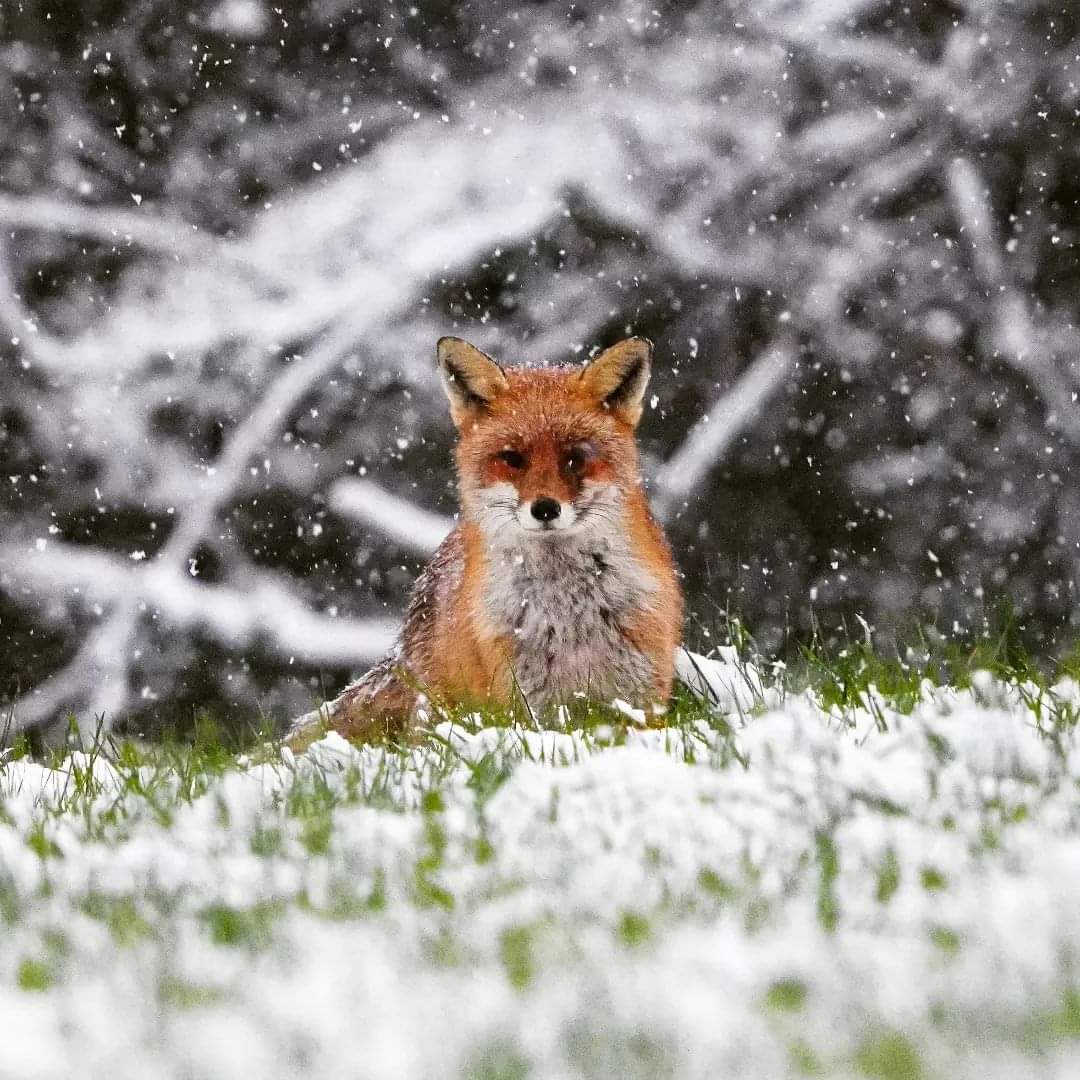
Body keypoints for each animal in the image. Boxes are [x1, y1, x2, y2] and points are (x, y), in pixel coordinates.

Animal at [286, 335, 683, 748]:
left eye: (576, 457)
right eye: (512, 458)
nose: (545, 509)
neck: (568, 612)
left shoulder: (641, 702)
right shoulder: (528, 707)